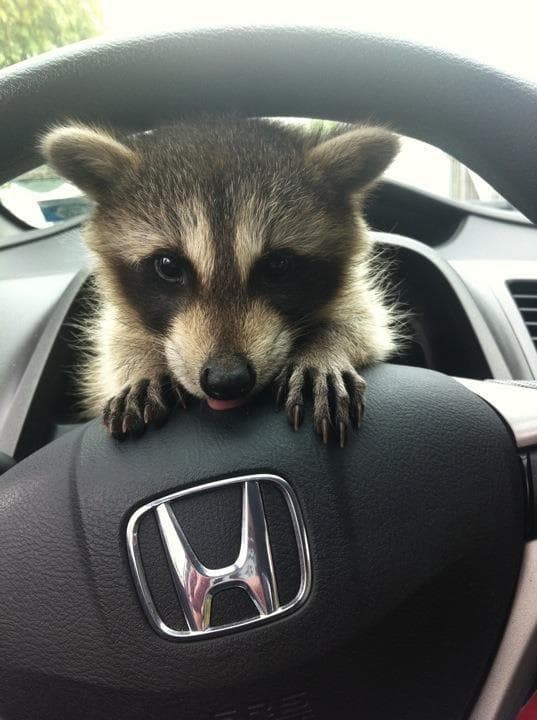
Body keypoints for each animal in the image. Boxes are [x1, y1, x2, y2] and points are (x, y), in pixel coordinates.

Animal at [42, 117, 400, 447]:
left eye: (277, 265)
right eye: (168, 266)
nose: (227, 380)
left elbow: (365, 321)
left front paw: (323, 346)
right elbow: (116, 340)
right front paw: (142, 364)